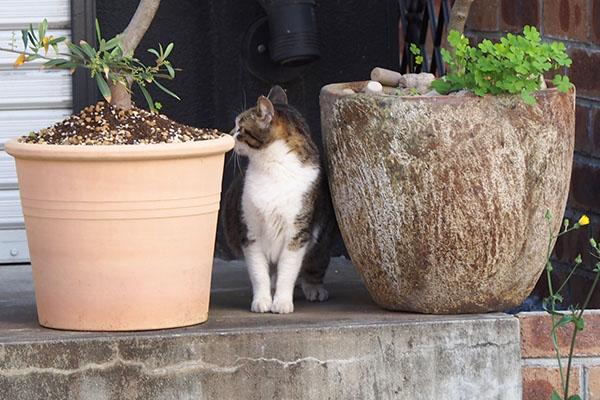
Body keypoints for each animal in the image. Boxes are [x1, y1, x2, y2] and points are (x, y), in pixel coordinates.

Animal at [225, 86, 336, 314]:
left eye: (240, 128)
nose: (229, 134)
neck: (272, 167)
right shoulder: (250, 232)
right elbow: (259, 273)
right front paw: (262, 300)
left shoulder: (297, 234)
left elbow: (288, 272)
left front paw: (282, 302)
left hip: (323, 239)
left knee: (315, 265)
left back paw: (314, 288)